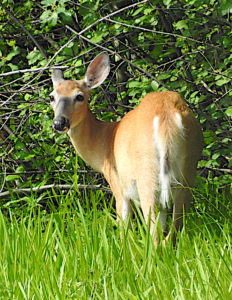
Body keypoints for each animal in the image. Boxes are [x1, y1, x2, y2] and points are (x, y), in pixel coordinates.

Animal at [50, 52, 203, 246]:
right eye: (52, 97)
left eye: (79, 96)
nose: (59, 122)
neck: (104, 142)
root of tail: (167, 115)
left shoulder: (117, 183)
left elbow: (123, 227)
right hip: (188, 168)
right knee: (172, 232)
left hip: (146, 172)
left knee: (155, 235)